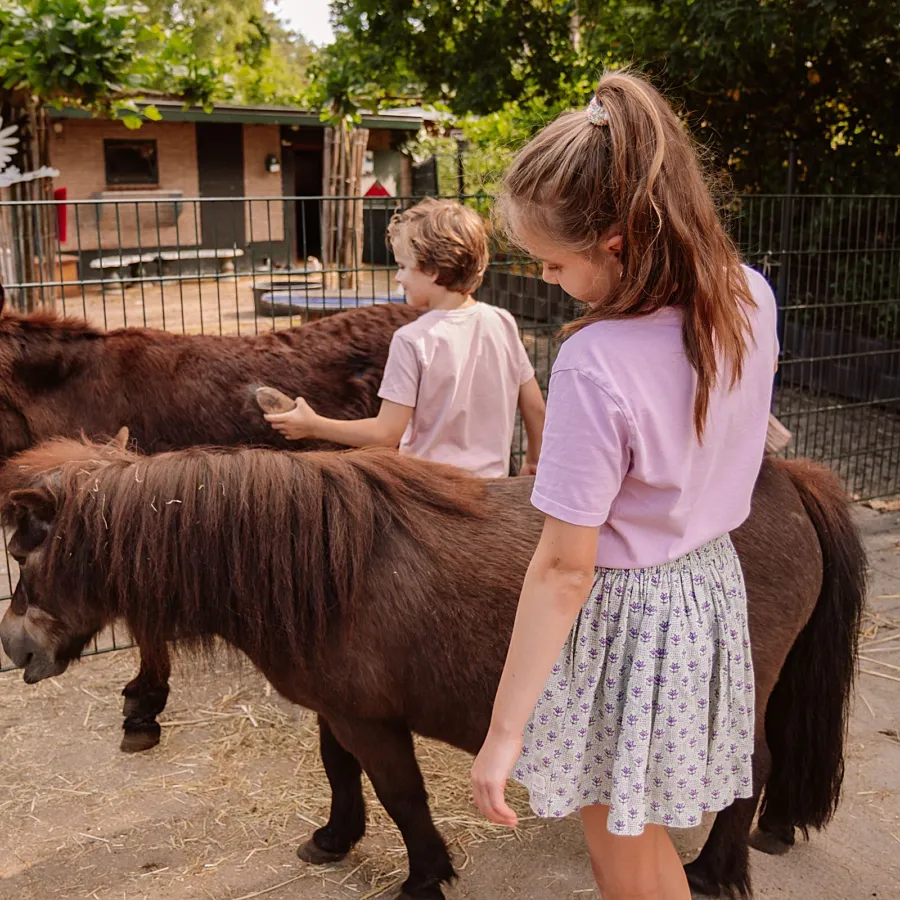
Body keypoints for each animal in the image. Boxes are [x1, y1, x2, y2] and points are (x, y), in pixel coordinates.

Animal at [0, 442, 864, 900]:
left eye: (25, 553)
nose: (14, 647)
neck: (322, 566)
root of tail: (787, 478)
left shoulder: (373, 721)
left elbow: (402, 796)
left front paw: (424, 877)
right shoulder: (340, 710)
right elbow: (339, 774)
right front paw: (333, 839)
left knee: (753, 769)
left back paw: (716, 870)